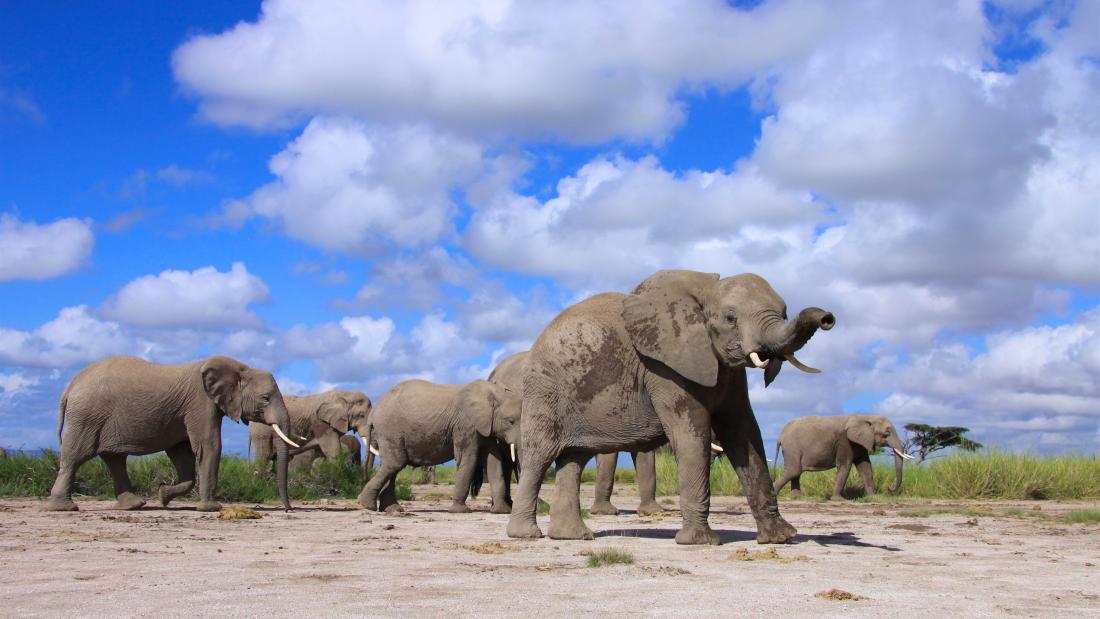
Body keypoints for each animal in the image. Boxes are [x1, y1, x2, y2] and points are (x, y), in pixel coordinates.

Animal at [45, 356, 299, 510]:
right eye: (265, 398)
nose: (288, 510)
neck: (240, 367)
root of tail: (71, 385)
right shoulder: (200, 402)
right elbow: (209, 445)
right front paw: (211, 508)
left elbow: (181, 453)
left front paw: (163, 495)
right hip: (87, 416)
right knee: (77, 456)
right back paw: (64, 507)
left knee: (114, 459)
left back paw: (134, 505)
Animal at [356, 380, 519, 516]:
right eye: (510, 421)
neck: (492, 393)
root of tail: (373, 413)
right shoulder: (466, 424)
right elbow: (468, 458)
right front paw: (460, 511)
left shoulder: (486, 426)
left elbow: (493, 461)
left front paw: (502, 511)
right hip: (390, 430)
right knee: (395, 463)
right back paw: (367, 505)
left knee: (392, 466)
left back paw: (392, 509)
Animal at [506, 269, 831, 545]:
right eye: (730, 318)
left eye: (785, 312)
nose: (827, 317)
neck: (706, 289)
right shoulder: (663, 368)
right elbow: (691, 432)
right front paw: (700, 542)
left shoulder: (727, 370)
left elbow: (743, 431)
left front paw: (781, 538)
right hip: (544, 389)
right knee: (539, 455)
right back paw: (526, 535)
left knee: (575, 459)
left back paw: (573, 537)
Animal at [770, 413, 915, 501]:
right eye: (886, 433)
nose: (888, 489)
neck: (866, 416)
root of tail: (780, 435)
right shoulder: (845, 441)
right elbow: (845, 465)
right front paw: (839, 500)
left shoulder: (860, 442)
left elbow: (865, 467)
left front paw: (873, 497)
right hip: (792, 447)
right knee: (794, 471)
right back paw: (775, 495)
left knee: (796, 472)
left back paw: (797, 498)